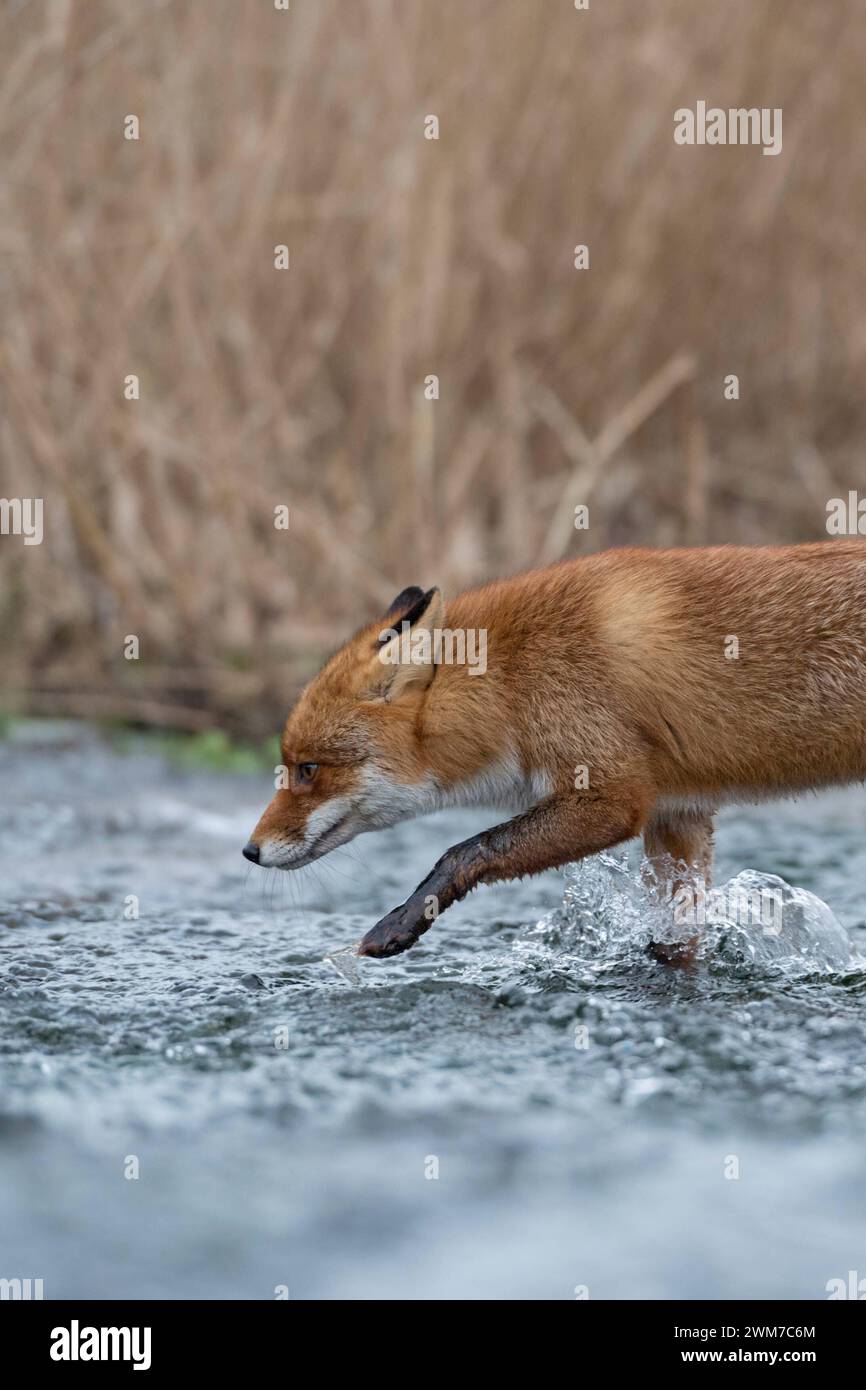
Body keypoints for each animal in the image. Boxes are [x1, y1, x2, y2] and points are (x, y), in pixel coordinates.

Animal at [241, 544, 866, 967]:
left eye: (308, 769)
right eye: (291, 765)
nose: (249, 851)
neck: (512, 681)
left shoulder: (614, 797)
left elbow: (466, 849)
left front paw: (401, 922)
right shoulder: (677, 813)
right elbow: (677, 935)